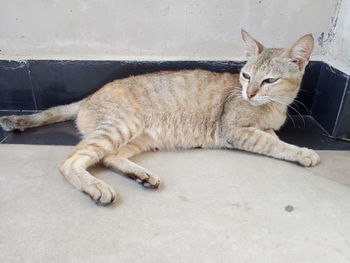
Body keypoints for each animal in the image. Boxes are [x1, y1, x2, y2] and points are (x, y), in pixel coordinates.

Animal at [0, 29, 320, 206]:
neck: (275, 106)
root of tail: (88, 97)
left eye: (269, 80)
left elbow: (273, 137)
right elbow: (274, 144)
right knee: (70, 160)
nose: (249, 93)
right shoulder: (234, 130)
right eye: (246, 75)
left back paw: (141, 176)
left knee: (108, 157)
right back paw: (97, 187)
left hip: (138, 137)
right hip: (122, 125)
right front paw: (304, 152)